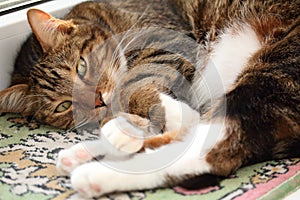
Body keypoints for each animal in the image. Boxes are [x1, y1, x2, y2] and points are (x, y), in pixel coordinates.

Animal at [0, 0, 300, 198]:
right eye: (64, 105)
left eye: (81, 66)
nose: (98, 101)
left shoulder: (167, 41)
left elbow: (135, 86)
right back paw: (89, 151)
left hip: (275, 69)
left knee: (211, 151)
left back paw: (95, 172)